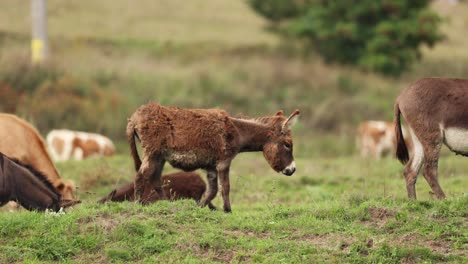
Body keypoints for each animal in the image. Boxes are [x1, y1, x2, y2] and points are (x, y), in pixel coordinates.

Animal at [127, 103, 300, 212]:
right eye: (287, 144)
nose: (292, 169)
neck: (238, 131)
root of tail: (135, 117)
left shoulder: (211, 166)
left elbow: (213, 190)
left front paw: (199, 207)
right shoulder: (224, 162)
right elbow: (225, 187)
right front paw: (228, 210)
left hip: (159, 157)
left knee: (156, 180)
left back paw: (166, 204)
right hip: (152, 153)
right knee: (141, 177)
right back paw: (138, 205)